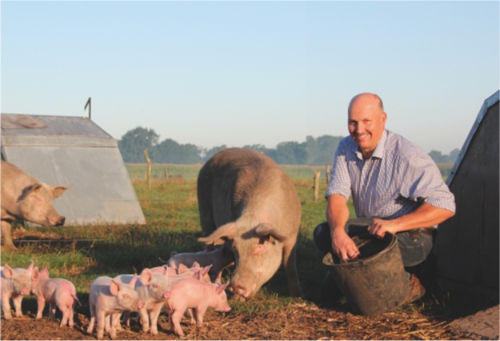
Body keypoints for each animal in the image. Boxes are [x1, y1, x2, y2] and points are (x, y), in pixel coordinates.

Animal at [197, 147, 302, 298]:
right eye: (236, 249)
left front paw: (297, 295)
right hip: (204, 213)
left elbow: (290, 266)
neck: (253, 217)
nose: (235, 286)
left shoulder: (292, 236)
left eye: (259, 246)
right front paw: (236, 299)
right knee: (208, 246)